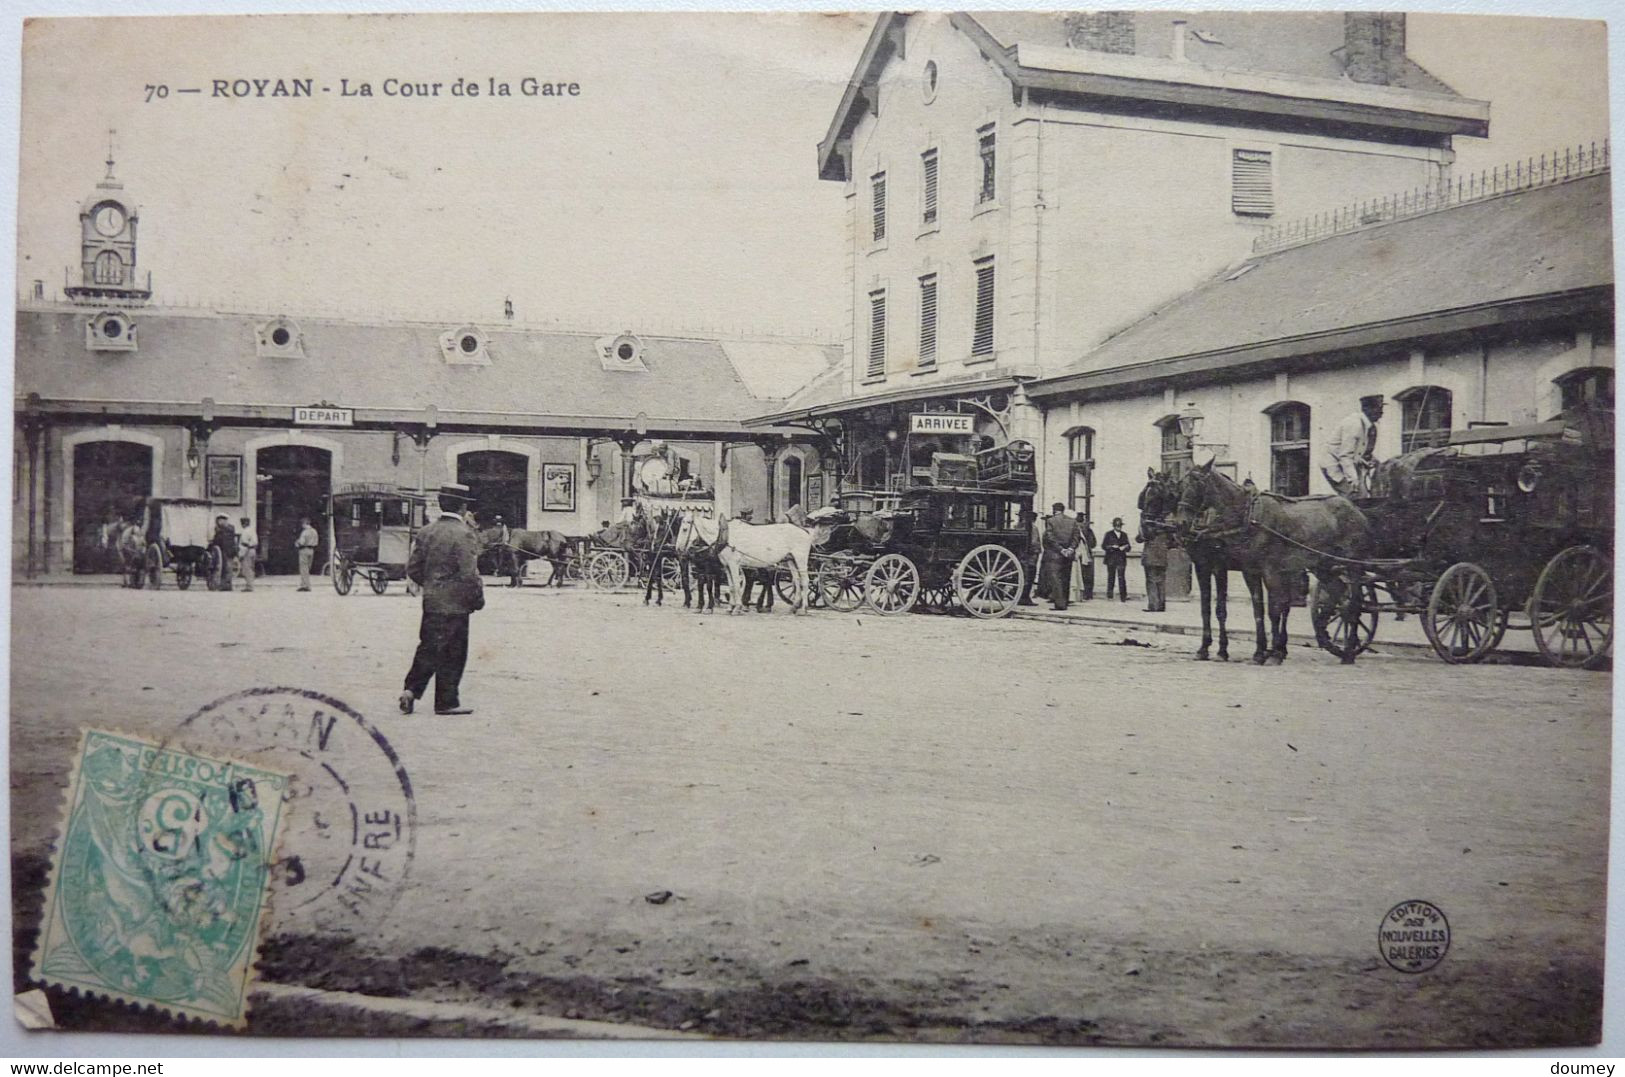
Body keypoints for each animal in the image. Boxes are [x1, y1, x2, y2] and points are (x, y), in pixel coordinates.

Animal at [676, 513, 812, 614]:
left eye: (684, 529)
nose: (678, 549)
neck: (724, 536)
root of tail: (805, 531)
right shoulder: (726, 566)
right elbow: (731, 586)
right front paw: (730, 607)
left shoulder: (733, 564)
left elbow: (736, 585)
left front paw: (737, 608)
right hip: (791, 560)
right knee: (796, 581)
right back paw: (794, 607)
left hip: (801, 558)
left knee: (805, 581)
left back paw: (803, 609)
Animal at [1170, 464, 1371, 666]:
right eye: (1180, 486)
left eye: (1198, 484)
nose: (1181, 523)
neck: (1247, 516)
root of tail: (1355, 509)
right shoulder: (1241, 569)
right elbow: (1252, 609)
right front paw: (1258, 652)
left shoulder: (1254, 569)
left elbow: (1270, 610)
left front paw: (1266, 653)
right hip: (1323, 566)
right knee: (1338, 595)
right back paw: (1326, 634)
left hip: (1352, 565)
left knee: (1353, 603)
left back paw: (1347, 651)